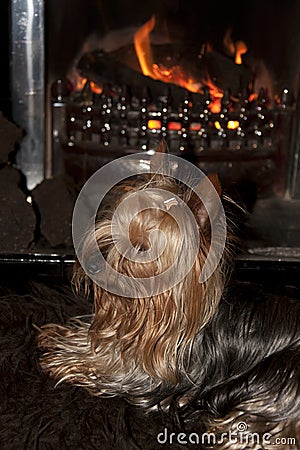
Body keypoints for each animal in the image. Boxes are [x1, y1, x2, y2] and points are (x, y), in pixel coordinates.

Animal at [37, 146, 298, 448]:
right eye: (113, 229)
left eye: (142, 248)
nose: (91, 266)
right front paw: (63, 339)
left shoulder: (149, 378)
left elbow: (110, 368)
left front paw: (68, 360)